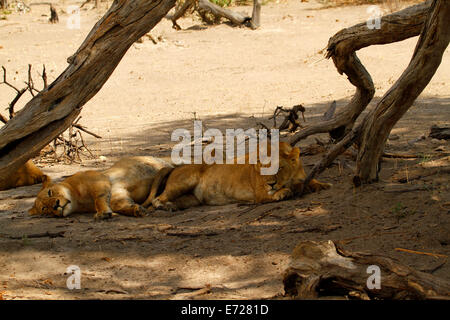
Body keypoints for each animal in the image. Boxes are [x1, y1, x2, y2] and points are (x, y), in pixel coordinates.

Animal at [28, 156, 172, 219]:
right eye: (44, 208)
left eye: (50, 193)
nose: (55, 205)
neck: (78, 202)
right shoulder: (118, 195)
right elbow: (121, 205)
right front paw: (136, 210)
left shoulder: (99, 180)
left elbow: (99, 199)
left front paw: (102, 213)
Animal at [144, 141, 330, 211]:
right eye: (264, 170)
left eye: (279, 168)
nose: (270, 183)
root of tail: (175, 167)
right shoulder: (259, 194)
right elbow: (277, 192)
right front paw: (283, 192)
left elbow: (309, 180)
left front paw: (322, 185)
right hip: (184, 182)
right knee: (157, 199)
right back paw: (163, 206)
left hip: (192, 199)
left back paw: (172, 206)